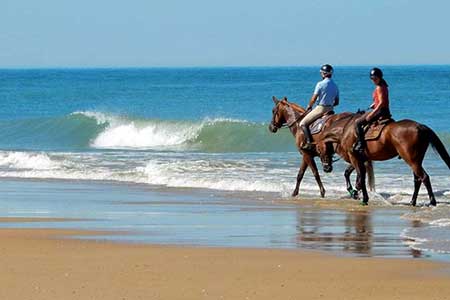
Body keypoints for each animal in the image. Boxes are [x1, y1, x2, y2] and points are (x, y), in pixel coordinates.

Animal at [314, 113, 450, 206]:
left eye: (319, 150)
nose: (326, 168)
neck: (345, 131)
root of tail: (420, 126)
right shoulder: (359, 158)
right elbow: (350, 174)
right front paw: (354, 192)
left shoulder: (355, 158)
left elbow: (360, 177)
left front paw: (361, 196)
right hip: (415, 161)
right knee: (417, 179)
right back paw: (412, 201)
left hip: (411, 160)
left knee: (424, 177)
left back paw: (432, 201)